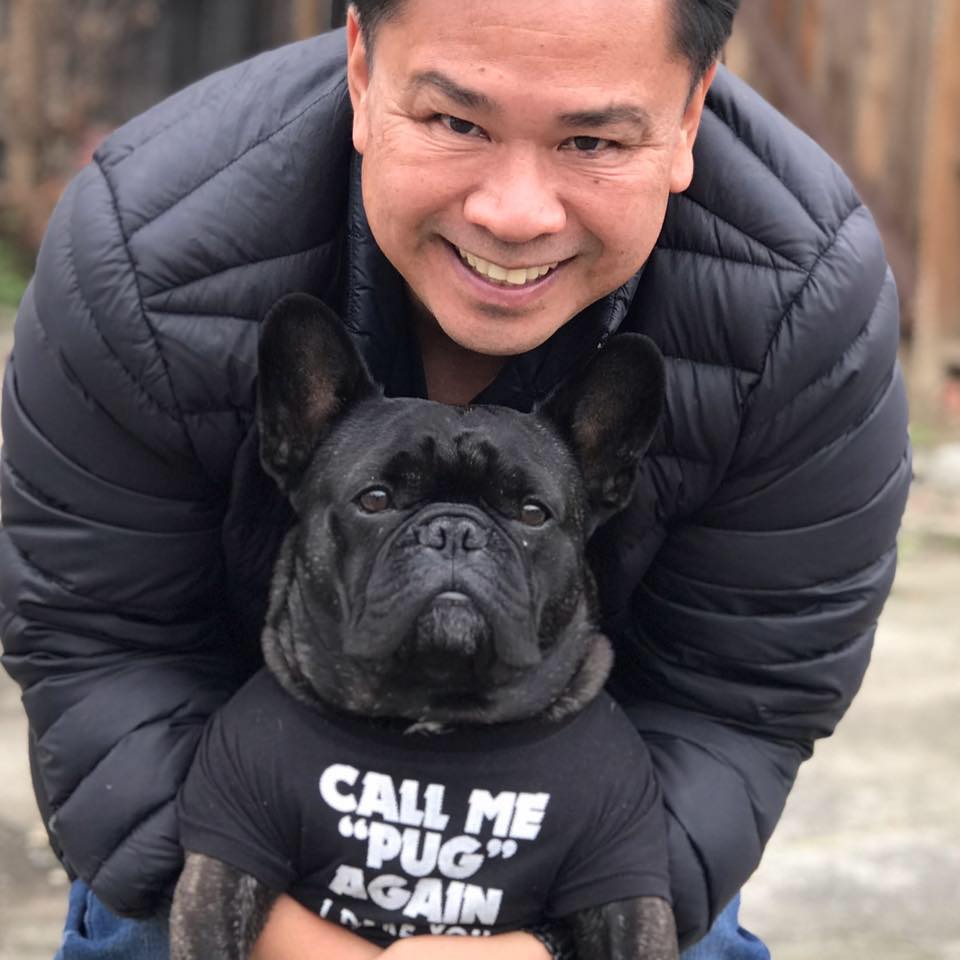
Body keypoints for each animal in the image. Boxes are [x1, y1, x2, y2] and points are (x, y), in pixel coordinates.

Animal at [170, 293, 677, 959]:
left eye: (533, 514)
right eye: (375, 500)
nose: (454, 529)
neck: (434, 714)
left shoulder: (625, 890)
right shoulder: (222, 868)